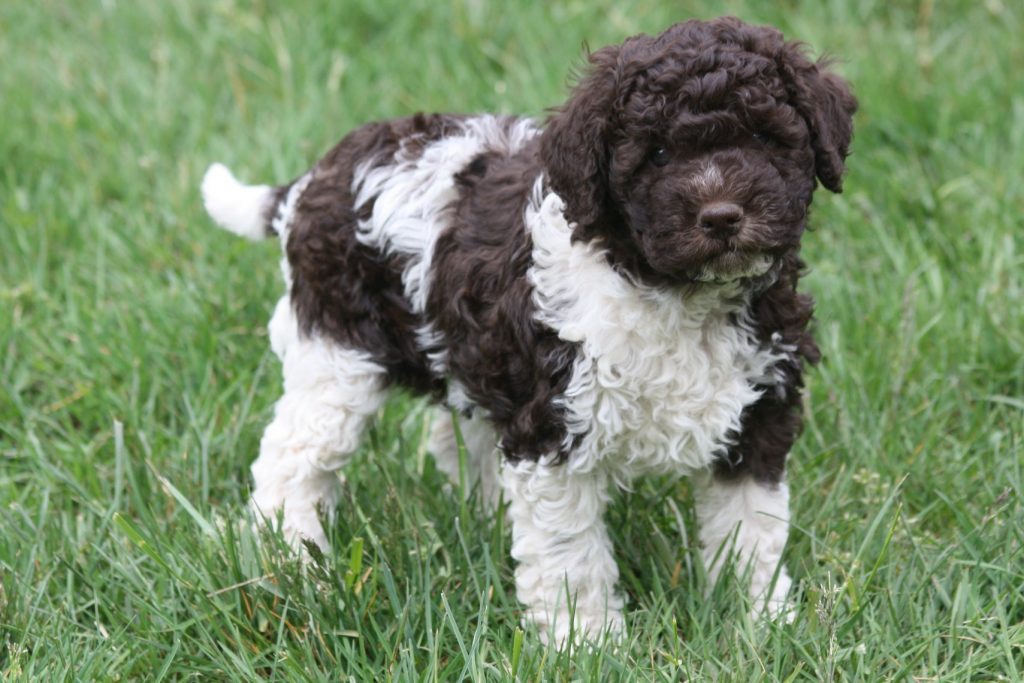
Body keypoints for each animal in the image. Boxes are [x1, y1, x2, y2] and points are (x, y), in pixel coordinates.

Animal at [201, 17, 856, 647]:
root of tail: (314, 180)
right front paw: (588, 644)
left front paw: (762, 622)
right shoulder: (552, 431)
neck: (671, 289)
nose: (721, 217)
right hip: (336, 355)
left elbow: (752, 530)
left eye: (763, 138)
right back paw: (293, 566)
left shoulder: (760, 411)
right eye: (659, 153)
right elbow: (572, 556)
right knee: (290, 460)